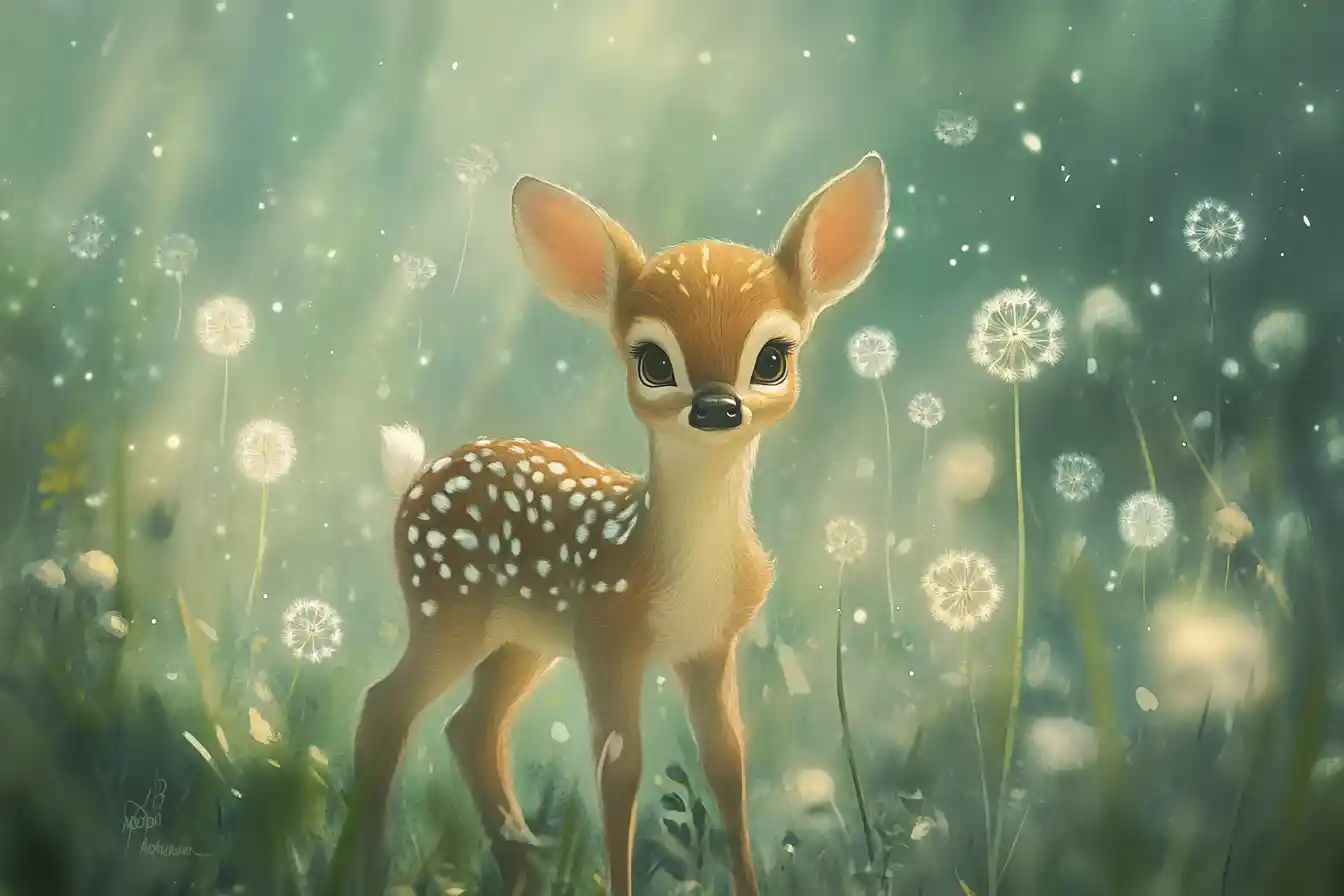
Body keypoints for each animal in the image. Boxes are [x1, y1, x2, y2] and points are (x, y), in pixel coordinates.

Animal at [331, 152, 890, 896]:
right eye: (652, 361)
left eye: (773, 356)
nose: (717, 409)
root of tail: (414, 475)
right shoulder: (606, 636)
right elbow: (619, 771)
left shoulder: (710, 646)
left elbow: (727, 765)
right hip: (449, 606)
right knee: (385, 705)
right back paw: (366, 865)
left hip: (524, 636)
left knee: (470, 727)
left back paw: (524, 871)